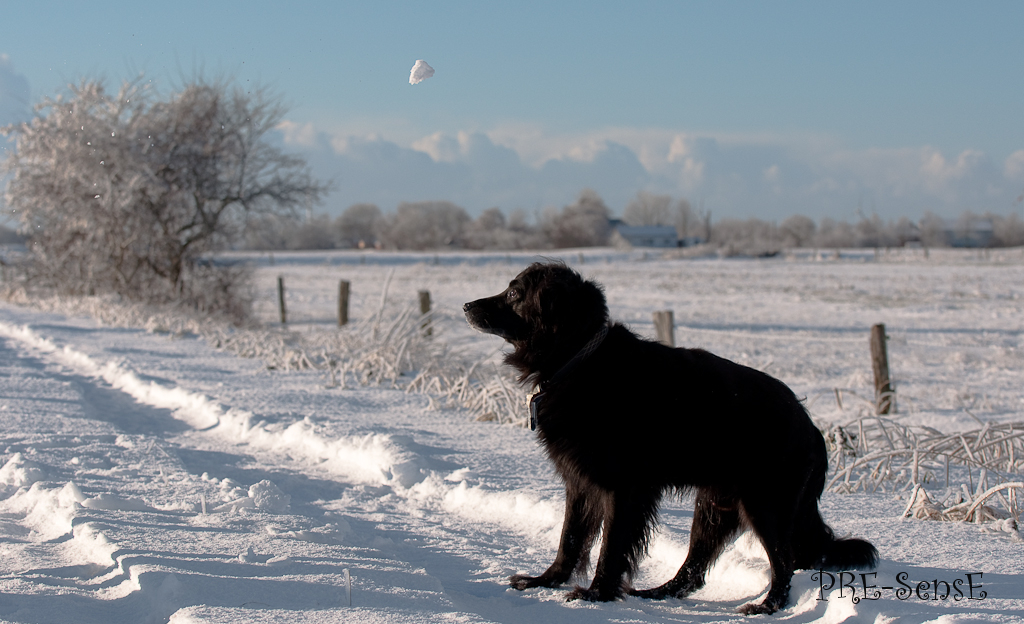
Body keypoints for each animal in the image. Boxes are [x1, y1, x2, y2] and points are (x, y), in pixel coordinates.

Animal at [462, 261, 872, 614]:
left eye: (514, 293)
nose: (466, 305)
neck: (578, 360)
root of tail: (811, 426)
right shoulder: (579, 483)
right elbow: (570, 539)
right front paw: (545, 582)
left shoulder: (623, 487)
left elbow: (611, 545)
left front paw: (596, 594)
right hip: (714, 505)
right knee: (695, 568)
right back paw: (658, 592)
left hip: (765, 502)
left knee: (783, 562)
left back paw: (767, 607)